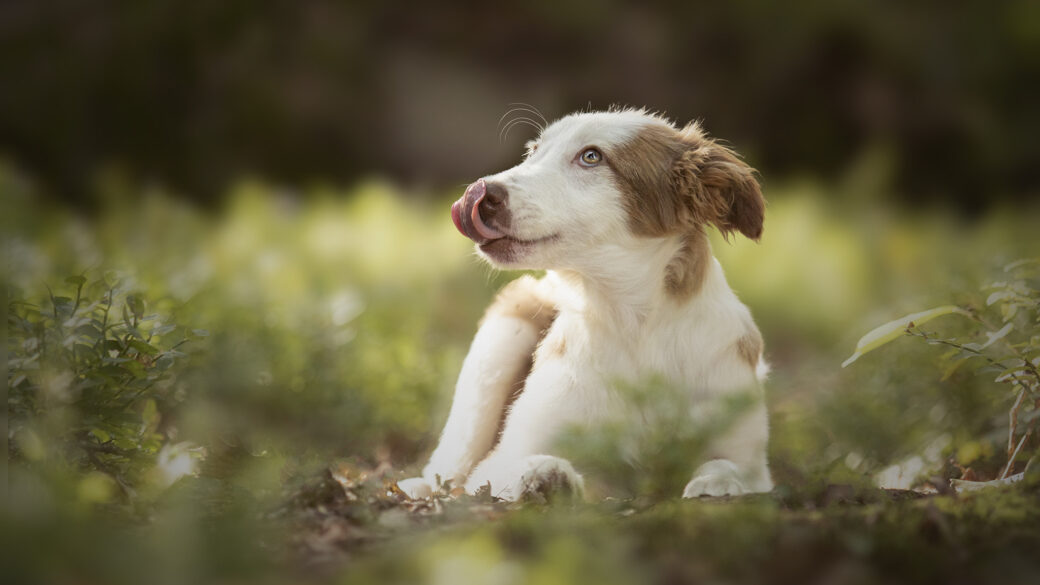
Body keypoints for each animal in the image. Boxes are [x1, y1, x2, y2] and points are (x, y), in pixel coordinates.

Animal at [397, 107, 773, 499]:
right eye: (533, 151)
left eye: (592, 157)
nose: (478, 193)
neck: (632, 323)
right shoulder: (501, 459)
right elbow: (527, 466)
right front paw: (546, 477)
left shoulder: (749, 455)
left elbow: (728, 466)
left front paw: (717, 483)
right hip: (499, 344)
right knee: (449, 470)